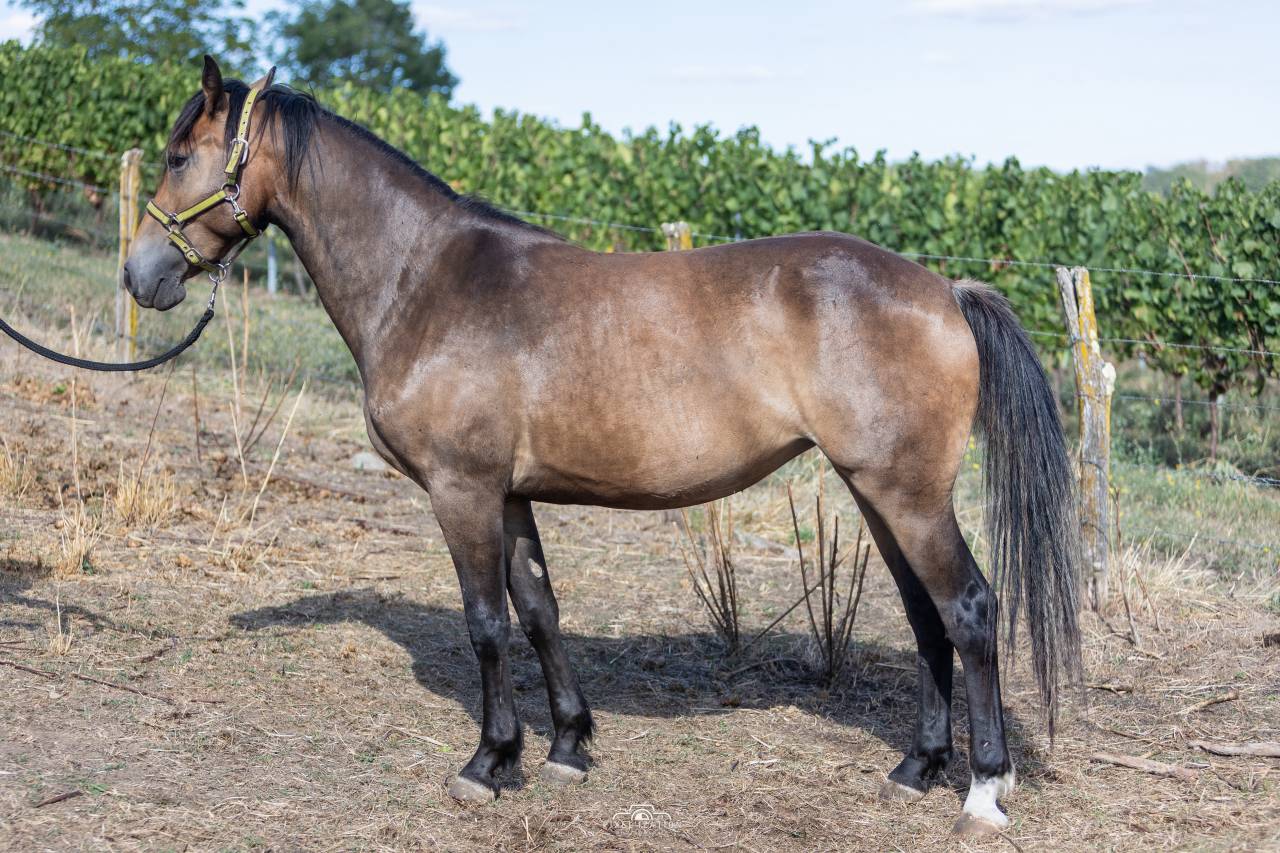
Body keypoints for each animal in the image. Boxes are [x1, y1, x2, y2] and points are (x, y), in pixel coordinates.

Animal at [123, 57, 1081, 836]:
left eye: (177, 156)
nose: (141, 275)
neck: (427, 279)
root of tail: (946, 290)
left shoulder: (461, 489)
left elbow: (485, 622)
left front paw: (488, 761)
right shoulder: (509, 493)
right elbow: (538, 609)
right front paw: (567, 746)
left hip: (907, 496)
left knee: (970, 609)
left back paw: (983, 790)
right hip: (879, 492)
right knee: (927, 618)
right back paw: (916, 768)